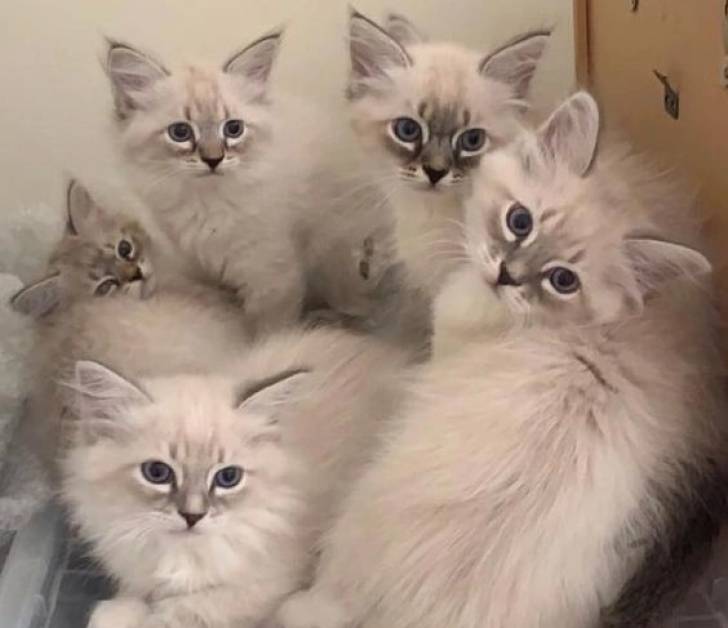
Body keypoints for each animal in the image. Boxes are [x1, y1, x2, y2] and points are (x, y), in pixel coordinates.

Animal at [61, 327, 407, 628]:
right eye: (157, 473)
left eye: (228, 477)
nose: (192, 516)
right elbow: (132, 595)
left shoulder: (263, 585)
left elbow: (184, 610)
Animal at [106, 30, 309, 334]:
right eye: (180, 132)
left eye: (234, 129)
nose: (214, 160)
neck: (205, 202)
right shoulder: (202, 270)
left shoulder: (272, 280)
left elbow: (271, 334)